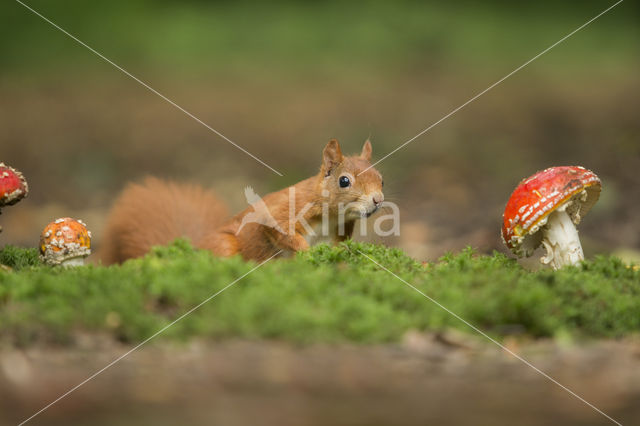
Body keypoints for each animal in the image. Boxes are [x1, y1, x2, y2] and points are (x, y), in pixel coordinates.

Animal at [97, 140, 382, 262]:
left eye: (381, 178)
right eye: (344, 181)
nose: (378, 200)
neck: (331, 215)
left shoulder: (340, 230)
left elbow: (338, 247)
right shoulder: (285, 211)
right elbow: (284, 233)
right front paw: (307, 252)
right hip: (224, 246)